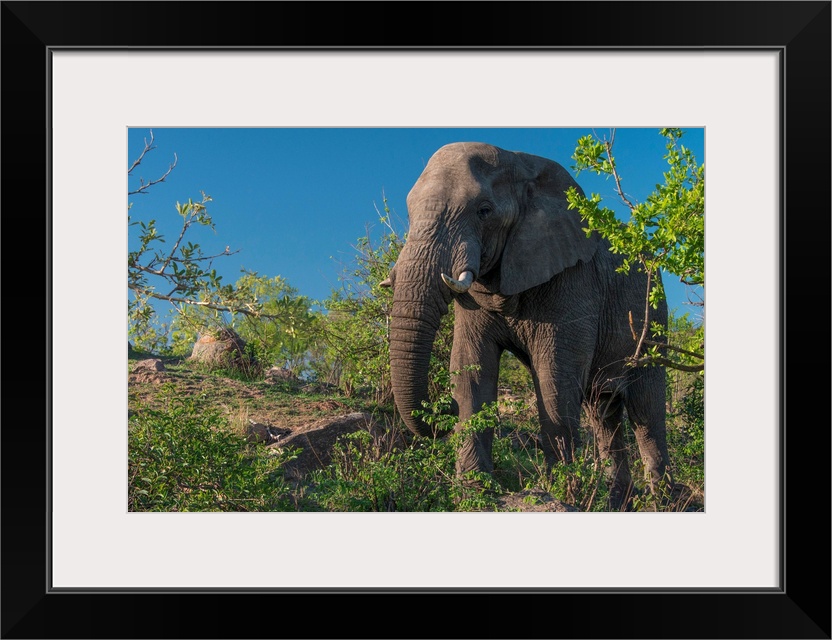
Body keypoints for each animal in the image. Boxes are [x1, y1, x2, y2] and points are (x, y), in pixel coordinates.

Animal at [384, 141, 668, 510]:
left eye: (484, 210)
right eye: (409, 213)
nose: (444, 407)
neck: (520, 164)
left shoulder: (573, 278)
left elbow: (555, 376)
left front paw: (560, 493)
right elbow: (470, 370)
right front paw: (474, 494)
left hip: (653, 320)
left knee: (647, 413)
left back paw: (663, 502)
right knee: (603, 413)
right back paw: (616, 504)